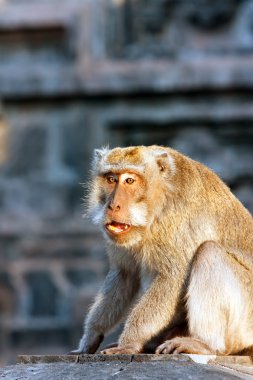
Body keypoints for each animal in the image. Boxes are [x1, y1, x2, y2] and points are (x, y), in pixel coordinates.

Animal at [70, 145, 253, 356]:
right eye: (111, 179)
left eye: (130, 180)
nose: (113, 205)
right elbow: (124, 275)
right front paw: (90, 336)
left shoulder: (176, 220)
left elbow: (172, 278)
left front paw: (129, 343)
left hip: (246, 318)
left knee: (209, 251)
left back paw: (206, 345)